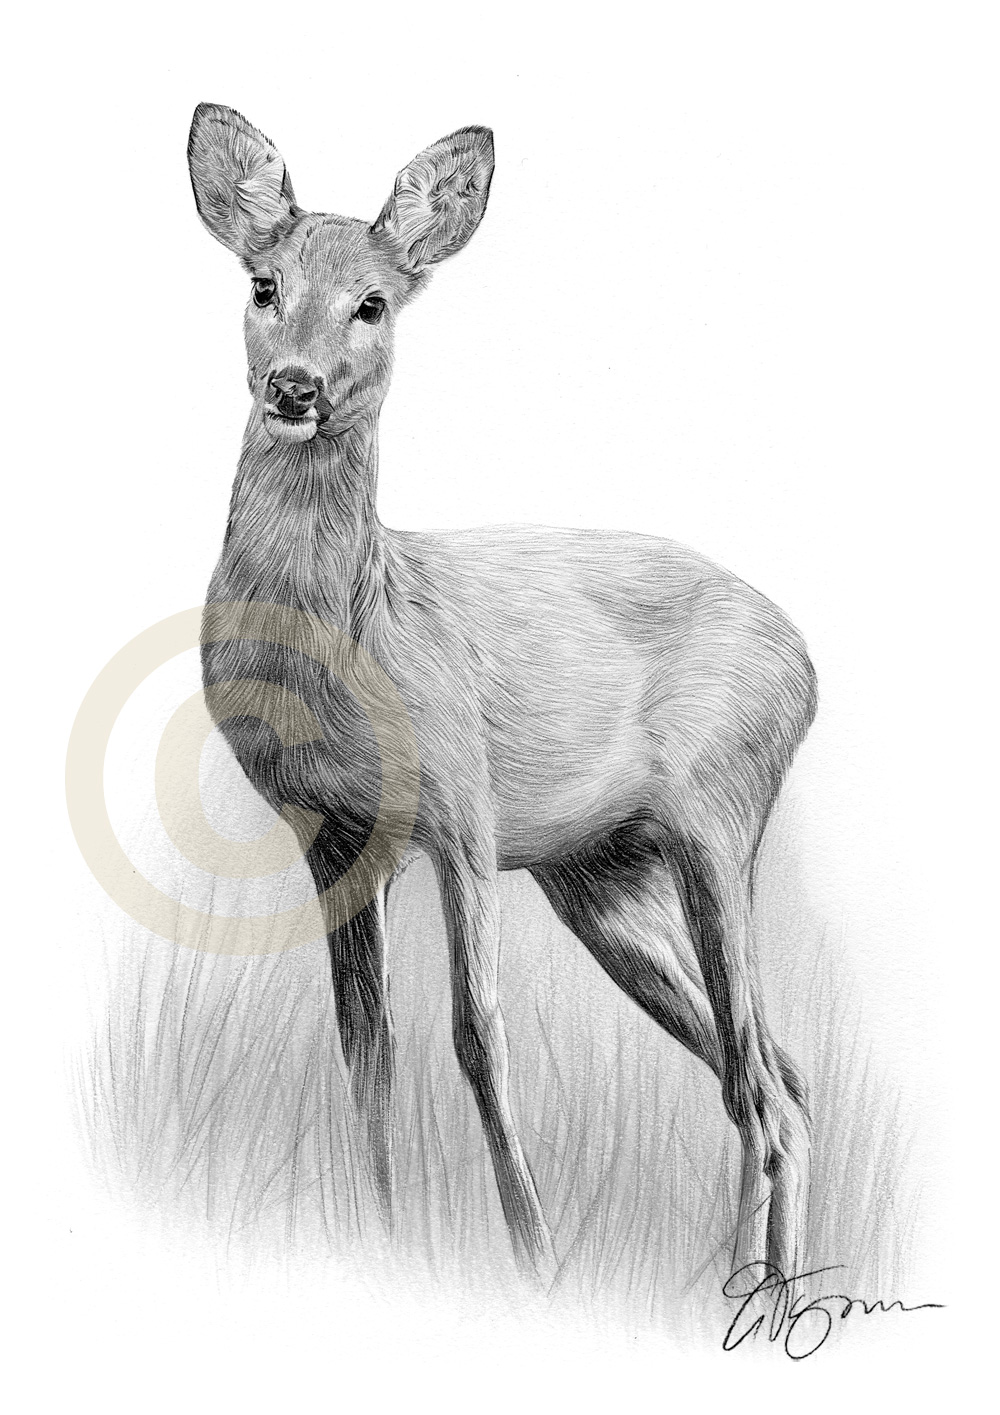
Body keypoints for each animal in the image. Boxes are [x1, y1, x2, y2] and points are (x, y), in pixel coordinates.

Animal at [187, 103, 816, 1284]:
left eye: (373, 301)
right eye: (261, 282)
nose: (295, 387)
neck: (358, 628)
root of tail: (805, 661)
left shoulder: (462, 813)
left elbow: (479, 1034)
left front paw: (534, 1257)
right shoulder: (333, 835)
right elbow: (367, 1045)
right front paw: (382, 1235)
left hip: (719, 820)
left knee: (757, 1082)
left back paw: (742, 1288)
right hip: (602, 880)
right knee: (778, 1076)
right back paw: (761, 1288)